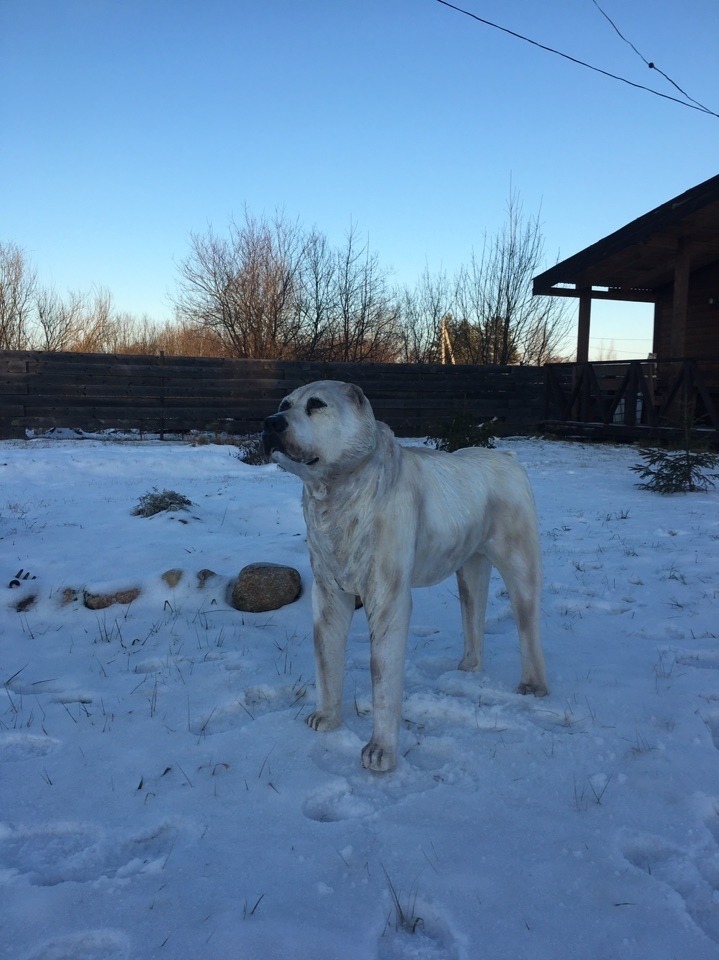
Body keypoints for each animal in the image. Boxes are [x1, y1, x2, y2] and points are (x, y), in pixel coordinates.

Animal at [262, 382, 548, 772]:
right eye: (284, 403)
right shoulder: (328, 594)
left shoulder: (388, 598)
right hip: (470, 567)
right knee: (473, 612)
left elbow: (382, 673)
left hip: (520, 564)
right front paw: (327, 718)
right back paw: (468, 669)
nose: (271, 422)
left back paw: (534, 687)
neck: (343, 491)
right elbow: (326, 656)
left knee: (527, 621)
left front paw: (380, 752)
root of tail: (508, 457)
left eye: (316, 405)